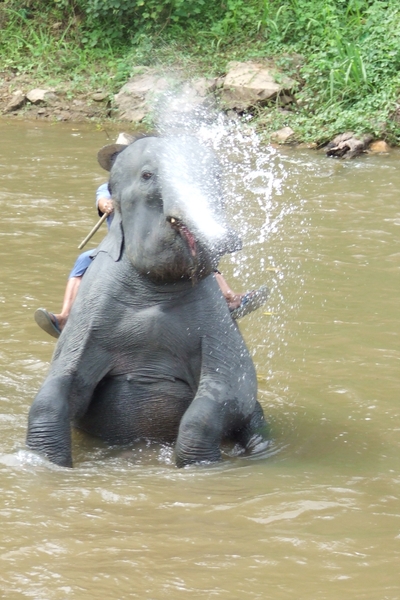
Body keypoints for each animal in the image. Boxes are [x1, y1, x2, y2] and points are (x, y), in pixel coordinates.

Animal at [26, 136, 268, 468]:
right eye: (147, 176)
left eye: (217, 177)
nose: (231, 241)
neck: (156, 288)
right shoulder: (89, 319)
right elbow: (59, 385)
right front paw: (46, 464)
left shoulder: (217, 324)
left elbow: (234, 388)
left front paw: (199, 465)